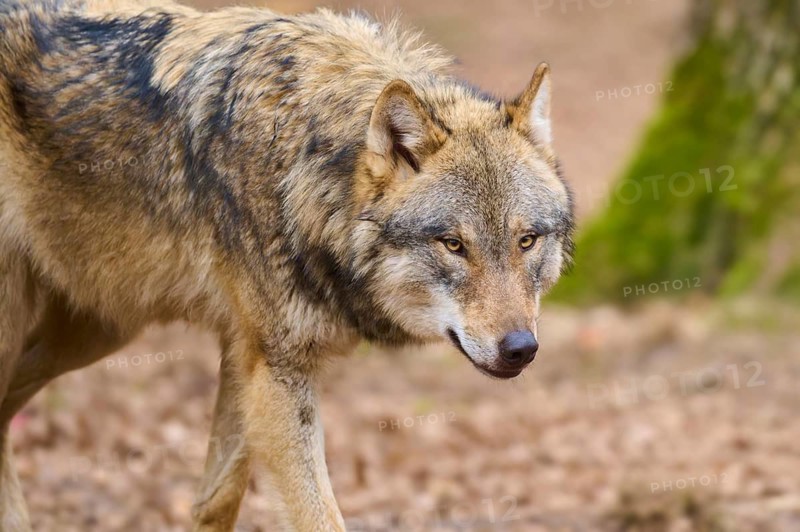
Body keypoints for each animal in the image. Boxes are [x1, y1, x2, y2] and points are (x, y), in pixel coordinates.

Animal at [0, 0, 574, 529]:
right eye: (453, 245)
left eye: (526, 241)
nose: (520, 349)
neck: (307, 163)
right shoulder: (276, 372)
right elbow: (319, 517)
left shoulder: (247, 355)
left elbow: (217, 500)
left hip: (98, 331)